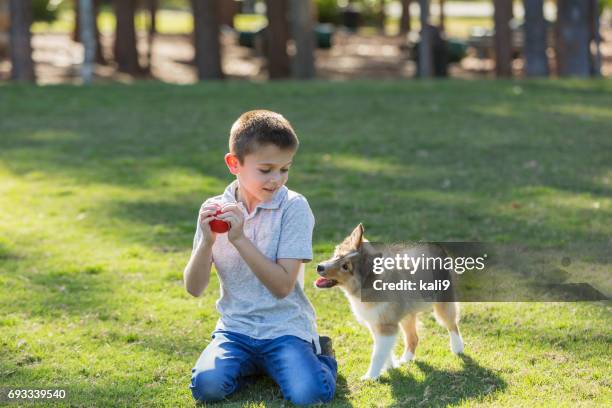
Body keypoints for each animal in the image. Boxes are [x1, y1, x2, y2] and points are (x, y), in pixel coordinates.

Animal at [316, 223, 464, 380]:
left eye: (346, 267)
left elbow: (378, 354)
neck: (368, 286)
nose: (319, 267)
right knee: (413, 337)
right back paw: (406, 359)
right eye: (337, 256)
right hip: (407, 315)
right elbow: (384, 350)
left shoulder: (386, 326)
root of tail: (437, 247)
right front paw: (390, 366)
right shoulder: (376, 323)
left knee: (451, 324)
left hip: (443, 303)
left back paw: (457, 348)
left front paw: (370, 376)